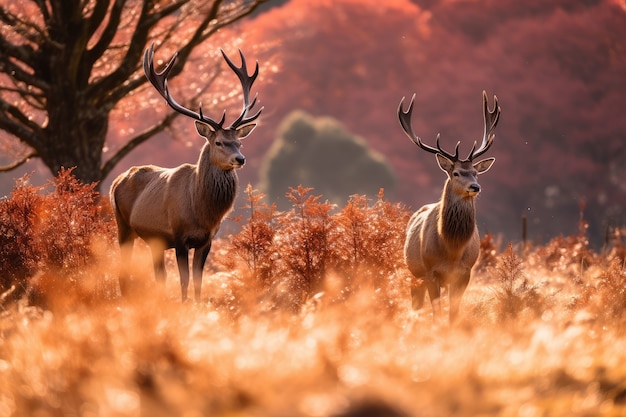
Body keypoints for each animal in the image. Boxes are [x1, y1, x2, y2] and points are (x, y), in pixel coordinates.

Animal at [109, 42, 260, 300]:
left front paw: (198, 306)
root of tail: (115, 181)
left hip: (154, 241)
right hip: (123, 225)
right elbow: (184, 280)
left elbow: (198, 280)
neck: (201, 212)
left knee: (158, 276)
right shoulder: (179, 236)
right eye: (218, 142)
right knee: (123, 272)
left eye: (239, 142)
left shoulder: (207, 240)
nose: (240, 159)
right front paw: (184, 305)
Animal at [398, 91, 500, 322]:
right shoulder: (430, 272)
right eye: (456, 173)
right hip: (414, 272)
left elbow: (453, 312)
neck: (452, 250)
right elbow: (436, 312)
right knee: (416, 303)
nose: (475, 187)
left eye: (476, 173)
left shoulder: (465, 273)